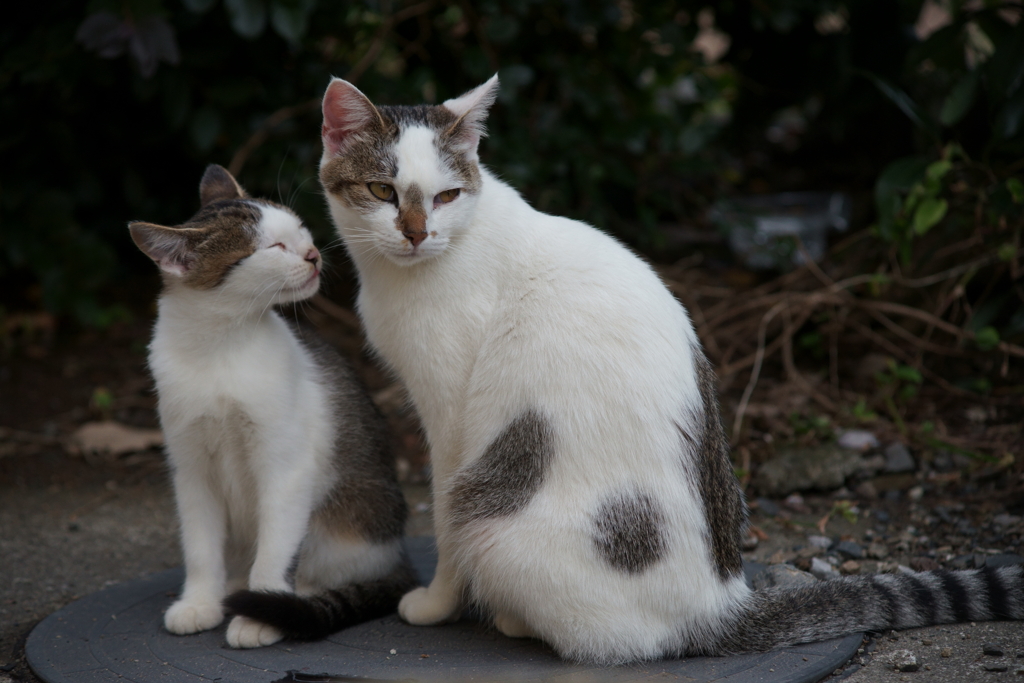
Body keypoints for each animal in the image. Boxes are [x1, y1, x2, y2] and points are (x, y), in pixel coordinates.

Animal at [129, 167, 415, 651]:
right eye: (273, 248)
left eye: (299, 229)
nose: (314, 254)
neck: (220, 350)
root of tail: (398, 556)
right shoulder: (191, 468)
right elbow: (200, 546)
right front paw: (199, 601)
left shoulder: (286, 468)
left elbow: (276, 546)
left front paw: (261, 611)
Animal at [313, 76, 1024, 667]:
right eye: (382, 191)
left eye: (446, 196)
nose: (415, 234)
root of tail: (717, 605)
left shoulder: (450, 421)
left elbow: (440, 525)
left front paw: (435, 604)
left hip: (489, 509)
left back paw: (516, 619)